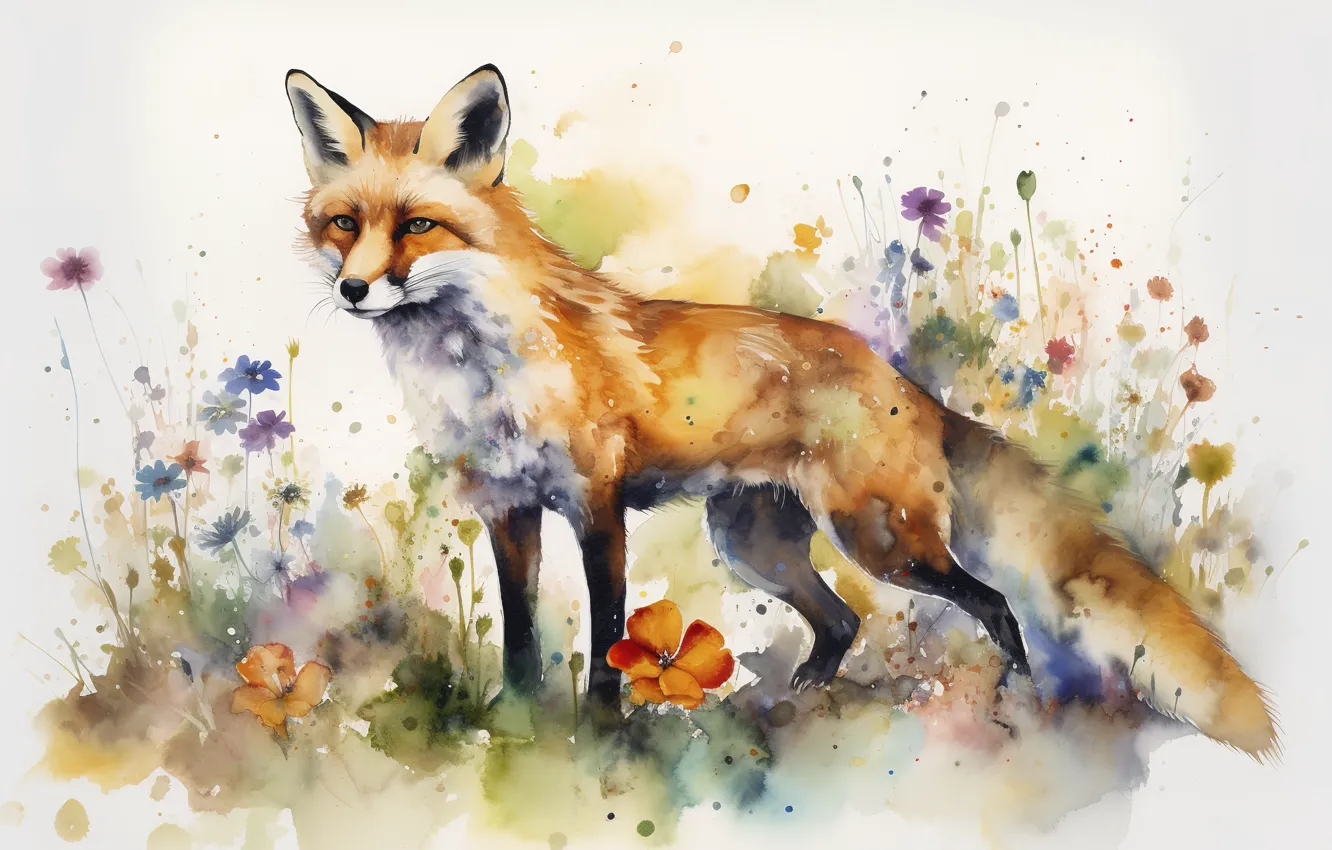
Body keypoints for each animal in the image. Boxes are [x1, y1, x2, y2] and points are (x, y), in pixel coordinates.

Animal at [284, 64, 1277, 758]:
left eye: (418, 225)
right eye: (344, 223)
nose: (354, 289)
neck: (479, 373)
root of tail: (903, 382)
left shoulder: (596, 507)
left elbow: (605, 635)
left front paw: (598, 734)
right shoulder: (507, 508)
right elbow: (524, 638)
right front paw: (518, 728)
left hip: (879, 540)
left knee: (992, 603)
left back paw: (1016, 707)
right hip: (756, 544)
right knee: (843, 622)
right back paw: (793, 702)